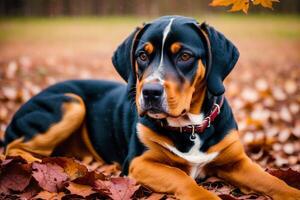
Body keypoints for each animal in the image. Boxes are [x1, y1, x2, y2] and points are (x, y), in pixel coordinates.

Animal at [2, 16, 300, 200]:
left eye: (185, 56)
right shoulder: (140, 162)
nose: (150, 92)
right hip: (71, 102)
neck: (190, 125)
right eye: (142, 55)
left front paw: (291, 190)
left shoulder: (236, 162)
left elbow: (272, 181)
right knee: (14, 149)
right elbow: (182, 178)